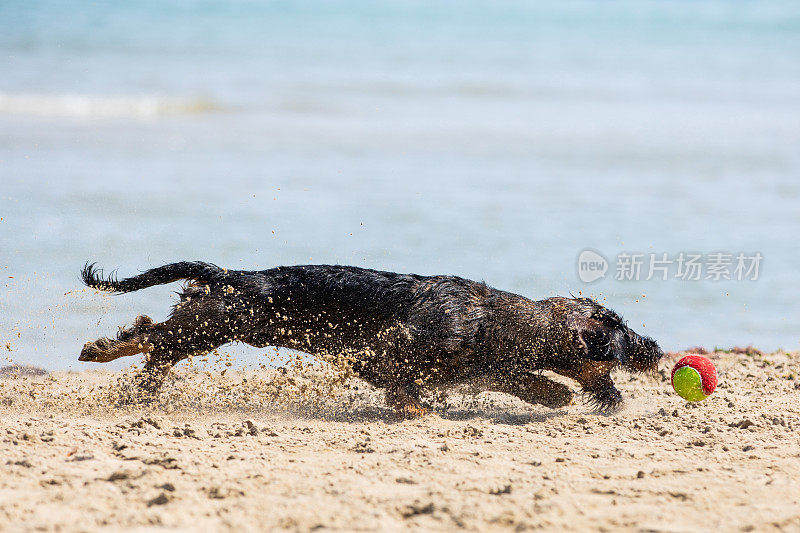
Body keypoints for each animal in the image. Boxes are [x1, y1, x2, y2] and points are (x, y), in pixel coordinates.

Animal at [79, 260, 664, 412]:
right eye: (620, 333)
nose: (657, 350)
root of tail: (237, 275)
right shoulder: (380, 355)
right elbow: (403, 388)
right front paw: (415, 409)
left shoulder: (487, 366)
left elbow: (524, 380)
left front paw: (554, 394)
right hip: (219, 322)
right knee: (155, 340)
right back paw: (106, 353)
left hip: (209, 319)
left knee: (152, 335)